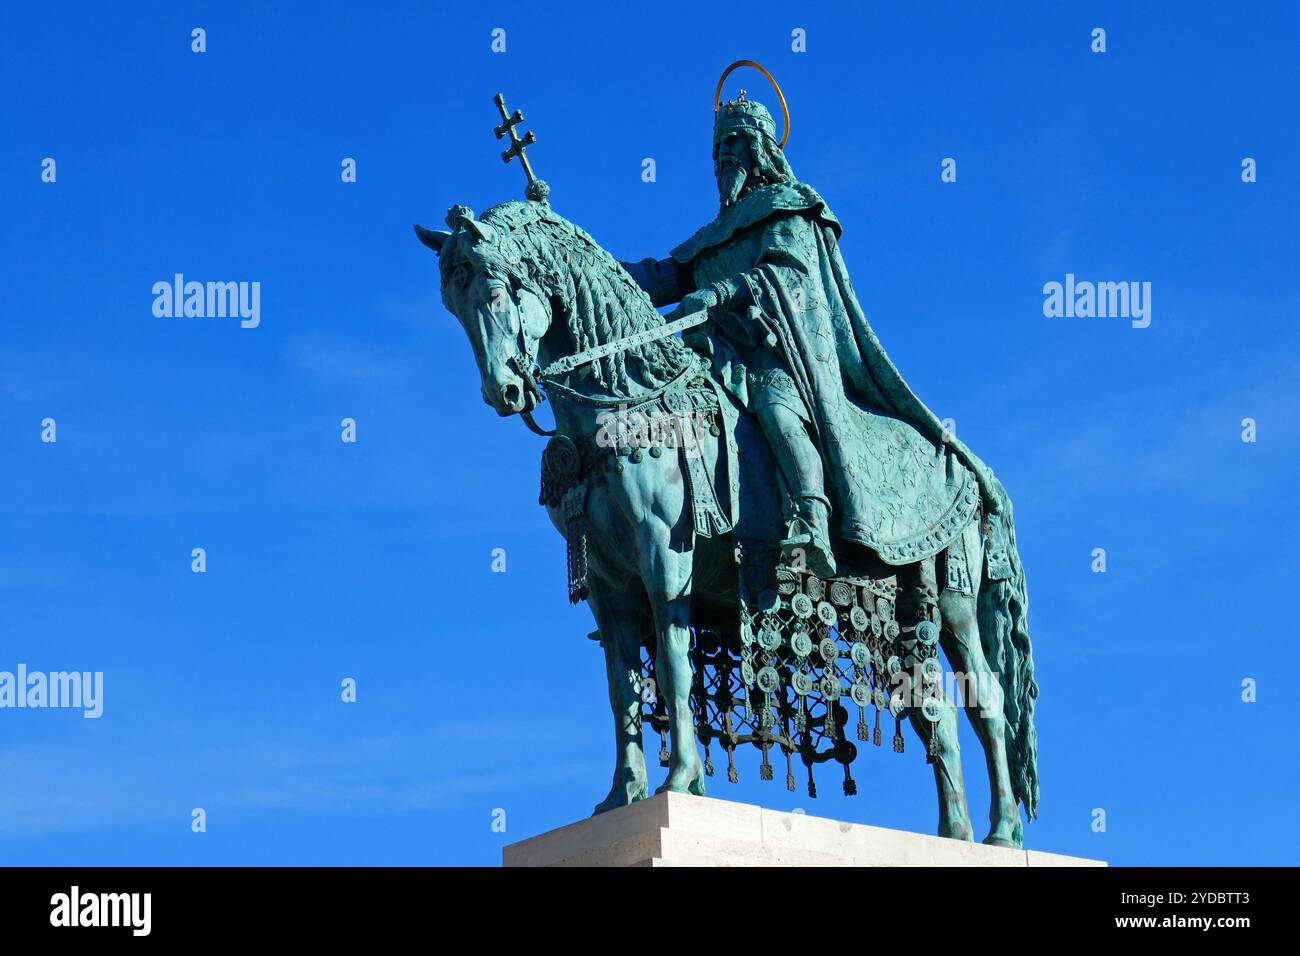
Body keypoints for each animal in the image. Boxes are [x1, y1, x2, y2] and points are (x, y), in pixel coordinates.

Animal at [410, 197, 1040, 848]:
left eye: (495, 291)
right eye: (451, 305)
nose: (505, 391)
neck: (625, 401)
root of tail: (971, 466)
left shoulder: (665, 556)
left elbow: (672, 665)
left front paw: (681, 780)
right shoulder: (609, 585)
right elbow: (621, 688)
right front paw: (620, 795)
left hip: (954, 598)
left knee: (987, 699)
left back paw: (1001, 833)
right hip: (909, 612)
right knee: (931, 711)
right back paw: (953, 834)